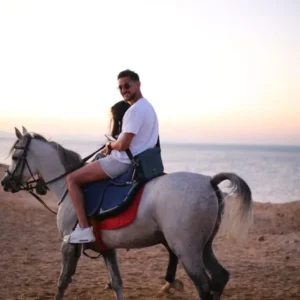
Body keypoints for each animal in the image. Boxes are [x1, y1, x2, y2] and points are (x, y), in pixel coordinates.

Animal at [1, 127, 252, 300]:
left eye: (15, 157)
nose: (5, 182)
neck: (66, 185)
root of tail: (209, 182)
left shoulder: (68, 246)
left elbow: (62, 282)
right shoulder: (107, 249)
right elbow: (117, 283)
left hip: (187, 250)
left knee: (204, 286)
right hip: (204, 247)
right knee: (220, 278)